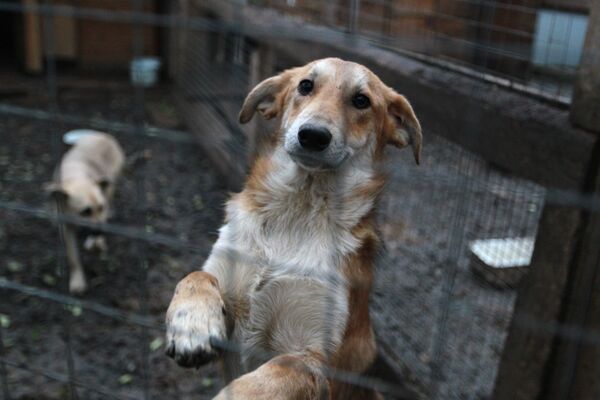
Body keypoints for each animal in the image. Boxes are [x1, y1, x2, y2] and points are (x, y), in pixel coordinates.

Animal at [47, 131, 125, 294]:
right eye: (85, 212)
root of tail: (106, 136)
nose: (102, 232)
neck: (76, 177)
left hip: (110, 185)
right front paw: (77, 281)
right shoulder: (67, 226)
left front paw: (97, 242)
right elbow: (73, 257)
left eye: (101, 207)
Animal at [164, 57, 422, 398]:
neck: (298, 212)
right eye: (305, 85)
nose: (313, 135)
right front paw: (192, 325)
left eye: (361, 101)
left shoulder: (314, 359)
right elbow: (196, 276)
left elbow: (272, 375)